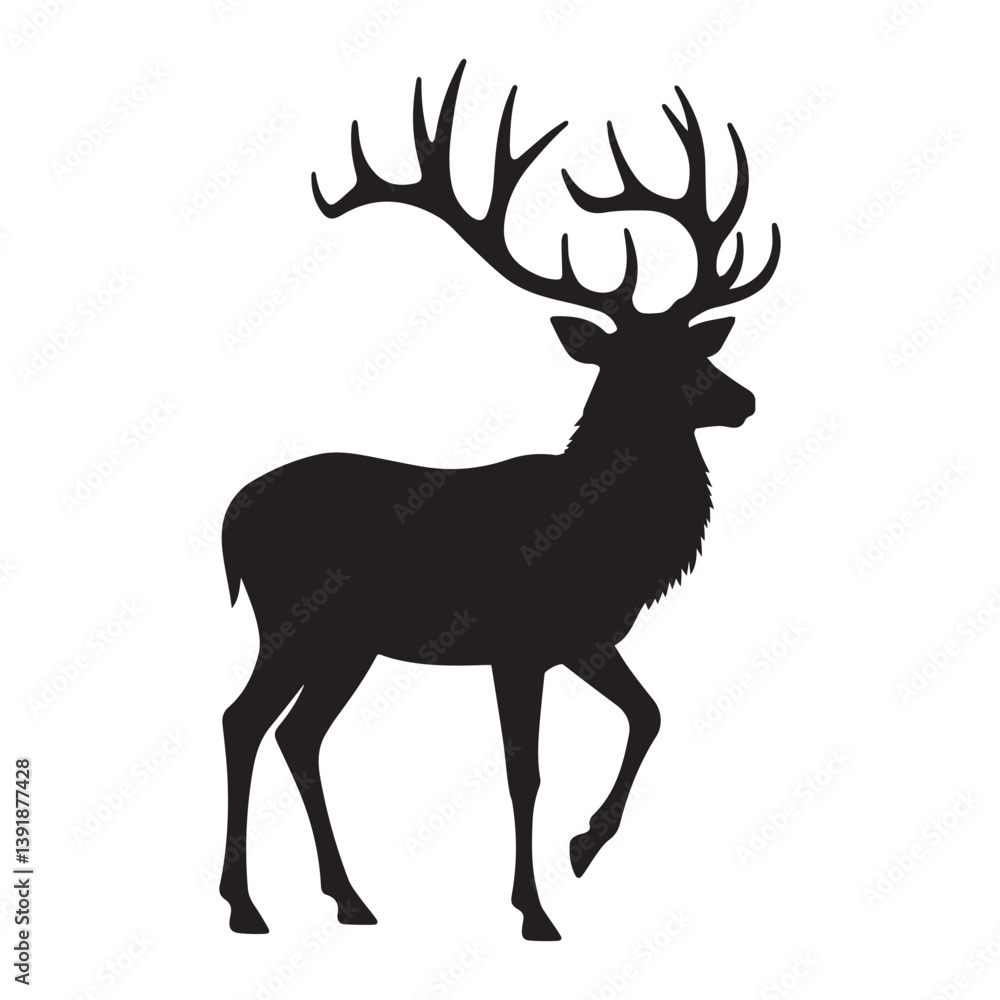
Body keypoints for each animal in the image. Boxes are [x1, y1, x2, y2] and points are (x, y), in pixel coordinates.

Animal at [218, 60, 780, 942]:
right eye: (638, 361)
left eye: (695, 345)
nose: (744, 398)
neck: (605, 537)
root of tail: (230, 518)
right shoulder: (518, 642)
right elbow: (526, 772)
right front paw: (536, 910)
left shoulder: (581, 637)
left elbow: (649, 714)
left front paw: (583, 848)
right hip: (292, 619)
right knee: (243, 721)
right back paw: (245, 906)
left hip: (347, 643)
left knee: (298, 735)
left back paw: (349, 899)